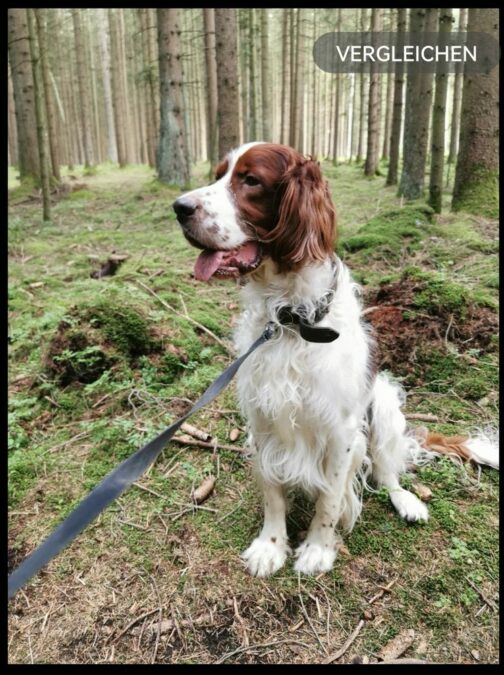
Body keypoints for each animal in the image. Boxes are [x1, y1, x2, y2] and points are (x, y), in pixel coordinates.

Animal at [172, 141, 496, 576]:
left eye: (251, 180)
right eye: (219, 174)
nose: (179, 207)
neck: (292, 319)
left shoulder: (342, 431)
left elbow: (330, 497)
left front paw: (318, 549)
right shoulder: (263, 419)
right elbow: (272, 490)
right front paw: (270, 546)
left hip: (384, 406)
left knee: (387, 473)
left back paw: (407, 501)